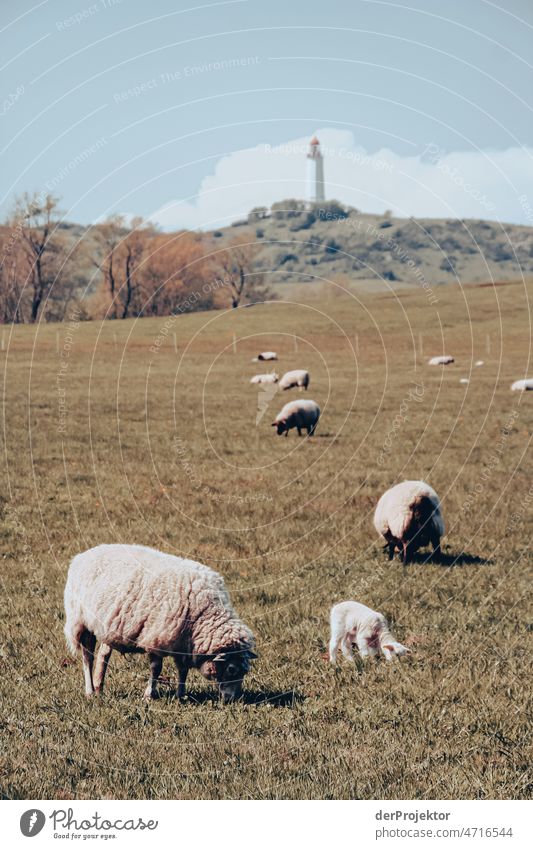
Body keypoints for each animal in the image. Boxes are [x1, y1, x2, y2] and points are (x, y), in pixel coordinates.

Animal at [63, 544, 258, 704]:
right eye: (231, 669)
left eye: (244, 671)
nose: (234, 700)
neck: (203, 613)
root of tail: (81, 556)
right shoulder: (156, 637)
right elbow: (156, 668)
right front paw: (149, 694)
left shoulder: (183, 641)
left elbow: (183, 670)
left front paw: (181, 695)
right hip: (82, 623)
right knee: (87, 657)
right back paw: (90, 690)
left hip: (108, 625)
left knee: (103, 655)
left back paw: (99, 686)